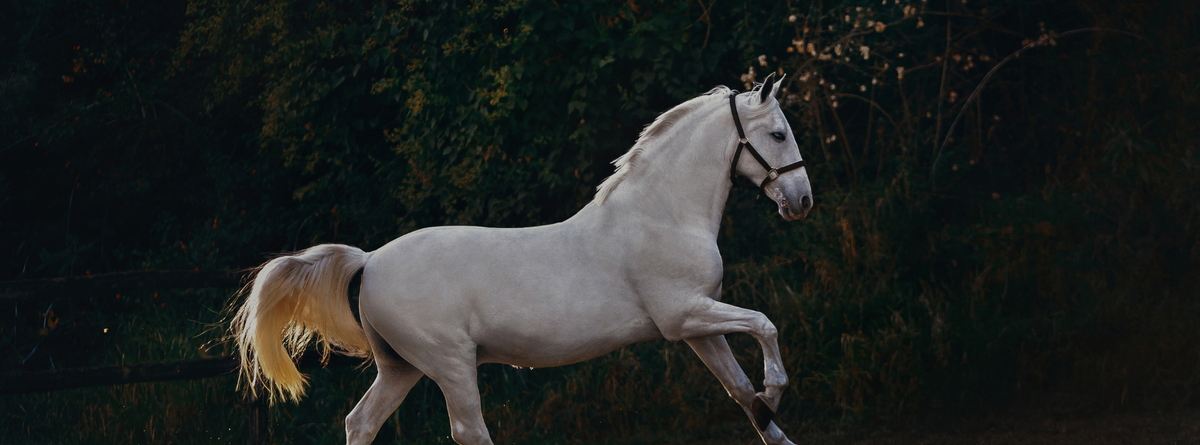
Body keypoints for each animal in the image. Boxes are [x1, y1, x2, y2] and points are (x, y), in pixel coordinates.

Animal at [232, 72, 813, 445]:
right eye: (778, 134)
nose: (802, 201)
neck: (664, 213)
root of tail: (370, 260)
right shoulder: (684, 316)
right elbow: (765, 326)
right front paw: (777, 390)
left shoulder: (699, 326)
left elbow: (742, 394)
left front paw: (770, 412)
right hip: (450, 363)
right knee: (468, 430)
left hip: (401, 368)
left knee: (361, 423)